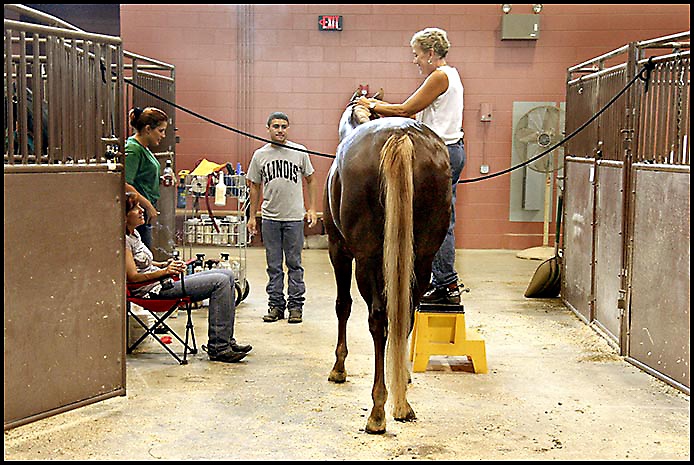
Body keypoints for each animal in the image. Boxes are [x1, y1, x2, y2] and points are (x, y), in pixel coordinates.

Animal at [324, 92, 454, 434]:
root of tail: (400, 134)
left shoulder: (338, 250)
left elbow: (342, 306)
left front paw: (338, 368)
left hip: (367, 259)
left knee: (378, 319)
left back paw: (379, 410)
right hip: (421, 259)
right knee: (404, 315)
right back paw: (402, 400)